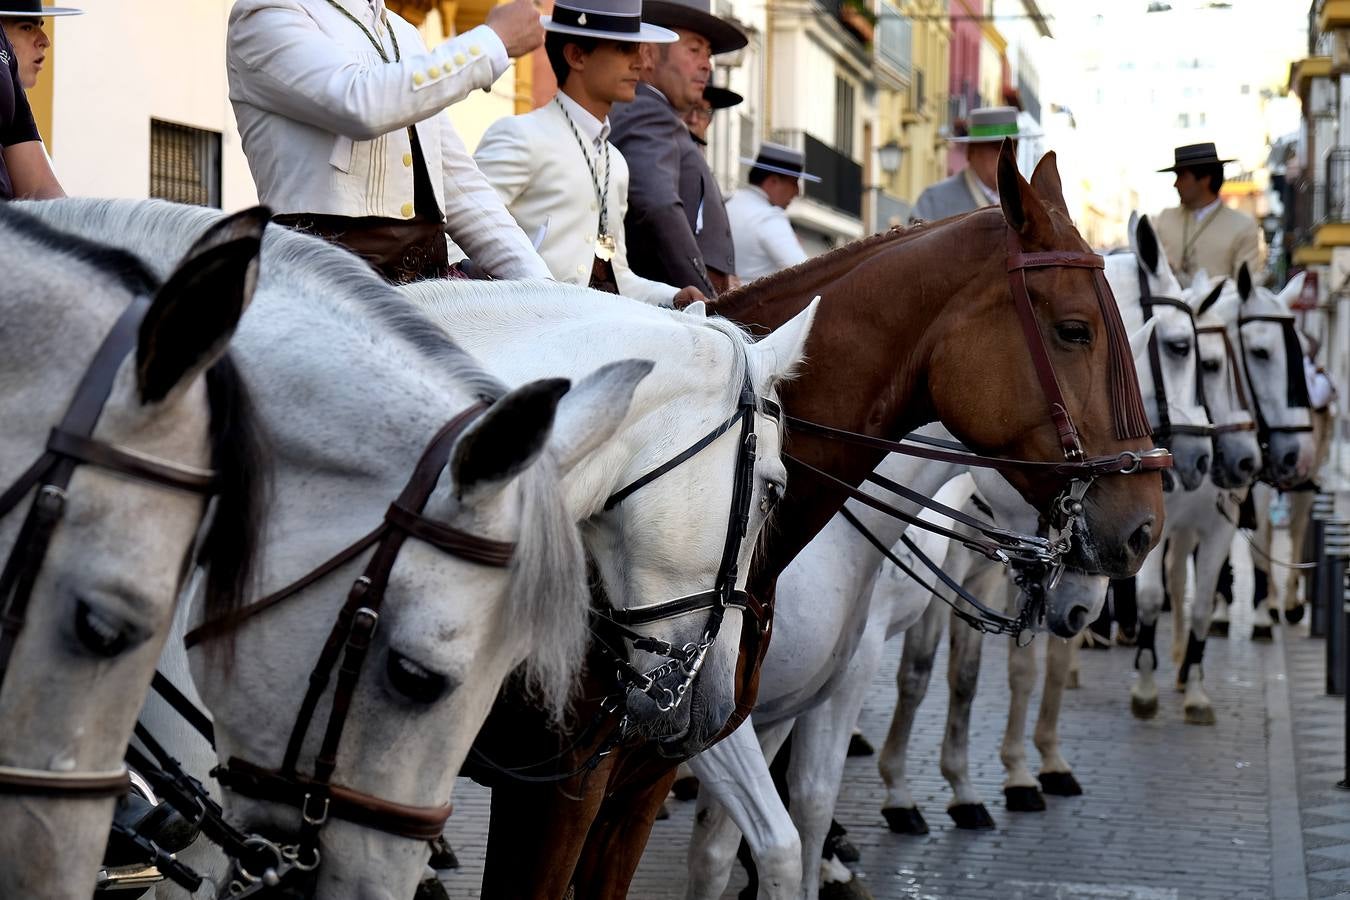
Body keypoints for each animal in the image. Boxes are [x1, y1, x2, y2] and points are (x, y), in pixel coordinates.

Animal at [461, 144, 1161, 895]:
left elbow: (775, 829)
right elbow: (778, 841)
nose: (1143, 531)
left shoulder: (689, 751)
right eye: (1074, 331)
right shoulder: (566, 785)